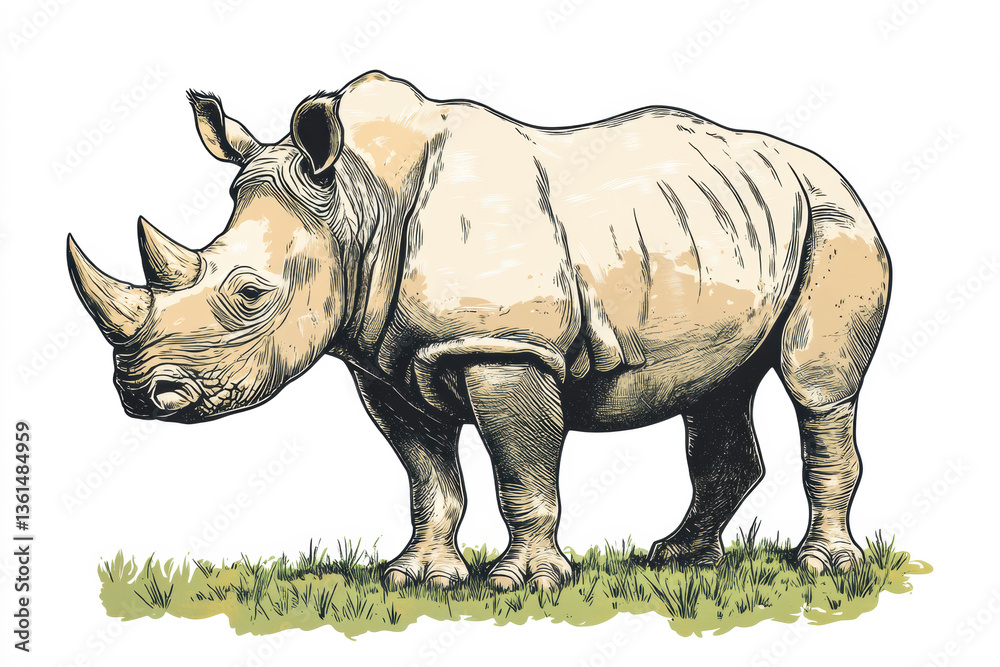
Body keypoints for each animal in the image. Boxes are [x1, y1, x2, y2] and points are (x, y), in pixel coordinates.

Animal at [67, 71, 890, 589]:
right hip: (735, 227)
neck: (356, 200)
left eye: (249, 293)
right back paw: (678, 560)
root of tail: (824, 167)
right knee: (717, 388)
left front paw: (522, 583)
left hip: (835, 218)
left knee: (818, 389)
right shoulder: (383, 359)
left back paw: (822, 567)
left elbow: (521, 472)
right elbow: (428, 475)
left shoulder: (504, 347)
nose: (141, 394)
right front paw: (417, 576)